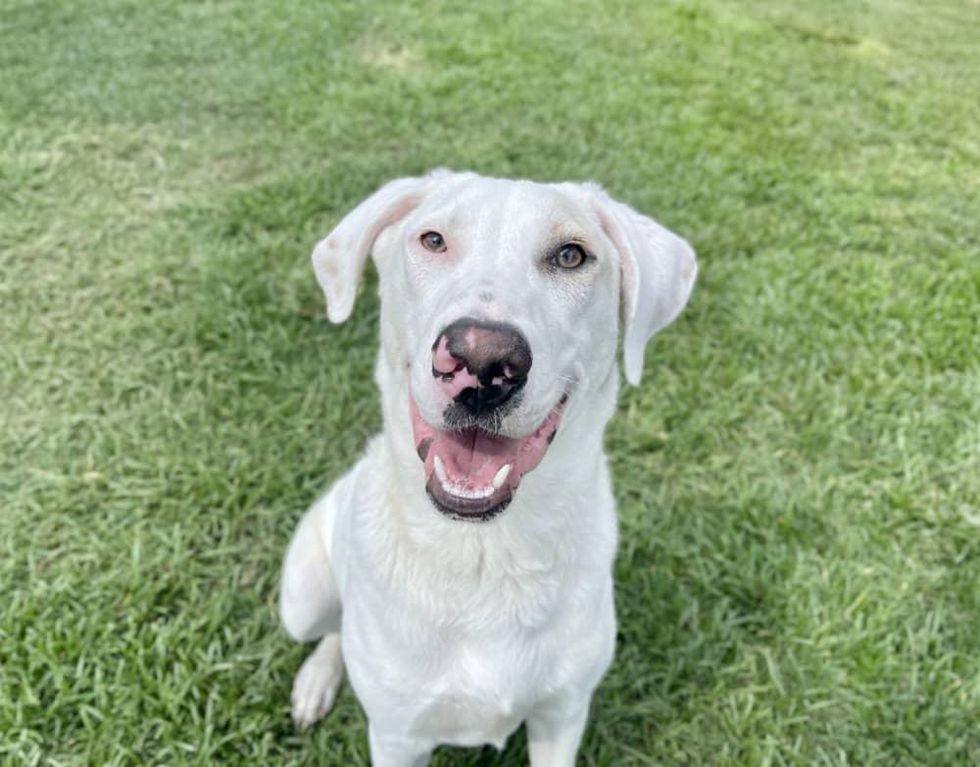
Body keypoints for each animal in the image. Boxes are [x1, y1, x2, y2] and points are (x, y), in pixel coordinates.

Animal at [278, 171, 696, 764]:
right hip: (302, 597)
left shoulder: (562, 716)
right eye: (432, 240)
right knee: (333, 627)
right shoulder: (397, 737)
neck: (486, 552)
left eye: (571, 255)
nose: (481, 359)